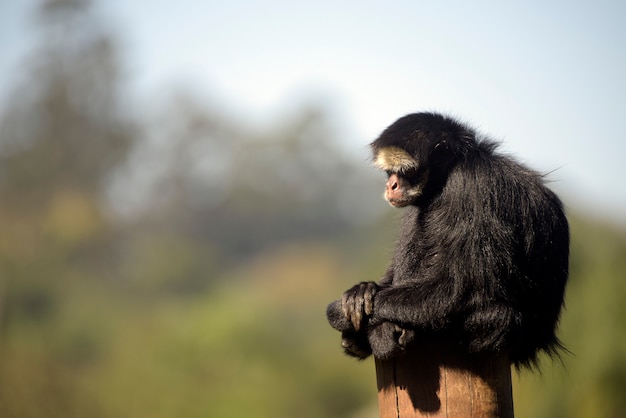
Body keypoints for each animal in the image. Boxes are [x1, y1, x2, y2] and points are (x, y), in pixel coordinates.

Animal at [326, 112, 572, 368]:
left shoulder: (472, 186)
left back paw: (383, 333)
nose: (391, 185)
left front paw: (338, 311)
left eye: (406, 172)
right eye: (389, 172)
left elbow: (456, 293)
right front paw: (362, 290)